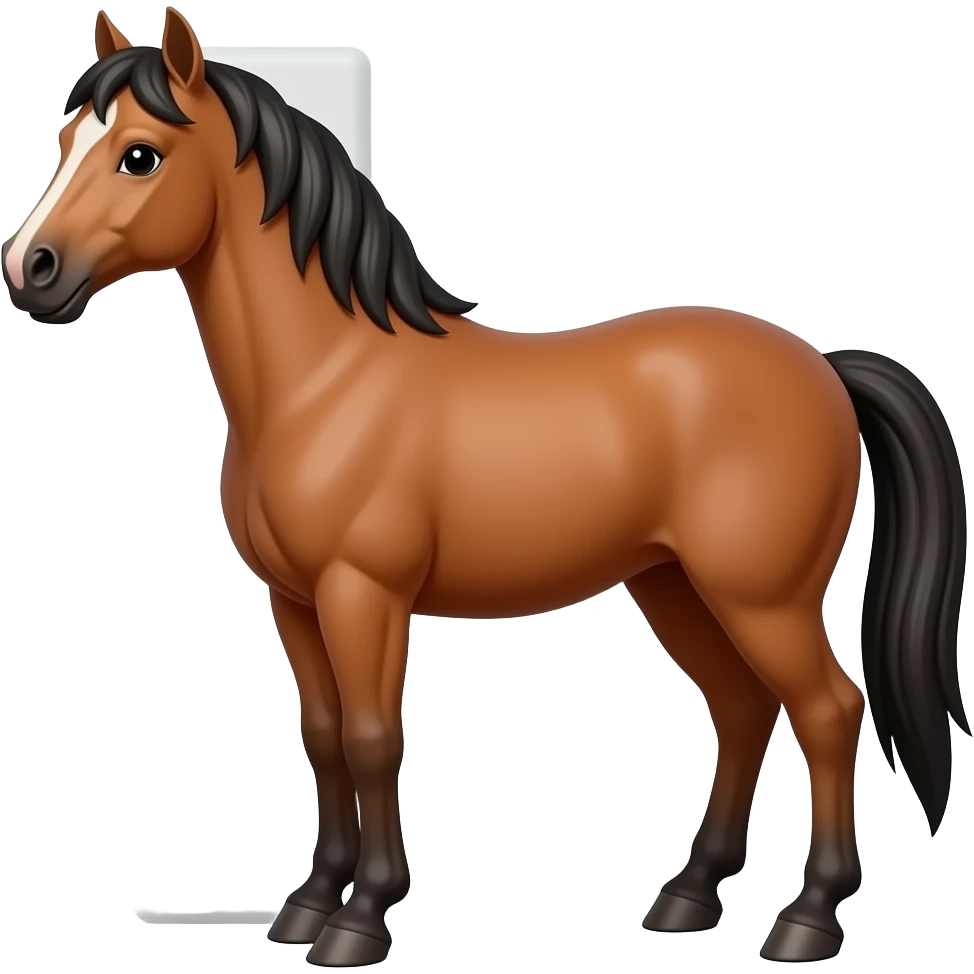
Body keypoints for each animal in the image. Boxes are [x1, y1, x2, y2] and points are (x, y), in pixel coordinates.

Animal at [2, 9, 967, 967]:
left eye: (140, 154)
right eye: (65, 140)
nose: (30, 269)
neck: (326, 381)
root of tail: (823, 366)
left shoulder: (364, 594)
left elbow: (370, 739)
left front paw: (362, 918)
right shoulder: (295, 601)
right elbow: (322, 738)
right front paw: (309, 904)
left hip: (762, 596)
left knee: (829, 711)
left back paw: (809, 917)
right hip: (675, 586)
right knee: (742, 710)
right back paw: (690, 895)